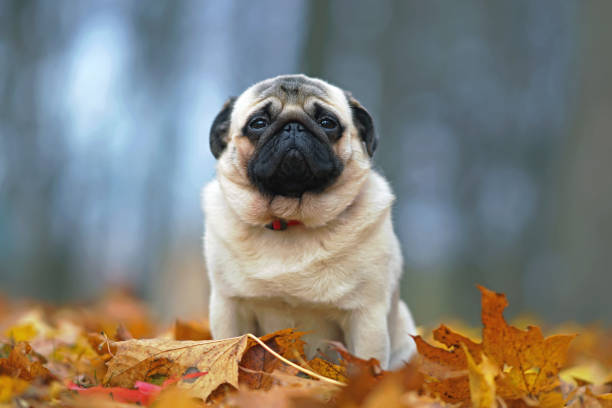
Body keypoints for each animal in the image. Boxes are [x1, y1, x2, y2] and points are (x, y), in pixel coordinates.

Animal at [203, 74, 418, 370]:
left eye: (327, 122)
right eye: (258, 123)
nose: (293, 126)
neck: (291, 219)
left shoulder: (366, 316)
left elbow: (366, 363)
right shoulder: (229, 307)